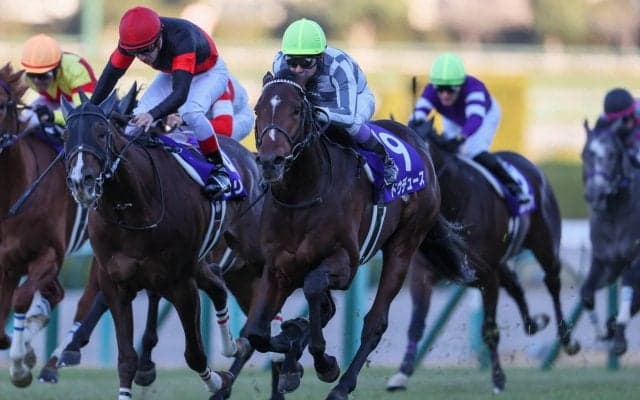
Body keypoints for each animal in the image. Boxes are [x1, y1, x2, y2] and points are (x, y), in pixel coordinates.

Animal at [0, 62, 95, 388]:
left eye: (1, 105)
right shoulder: (7, 261)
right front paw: (20, 349)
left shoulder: (49, 254)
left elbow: (21, 299)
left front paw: (19, 366)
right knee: (57, 294)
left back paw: (53, 362)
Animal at [60, 89, 266, 399]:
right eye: (66, 135)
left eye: (101, 131)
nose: (80, 181)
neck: (132, 207)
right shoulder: (117, 283)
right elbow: (126, 359)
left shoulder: (179, 283)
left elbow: (195, 355)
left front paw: (218, 381)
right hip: (204, 264)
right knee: (218, 286)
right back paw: (234, 346)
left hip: (246, 258)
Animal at [244, 70, 479, 400]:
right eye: (258, 109)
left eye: (297, 110)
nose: (270, 161)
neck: (304, 193)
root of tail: (418, 145)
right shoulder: (279, 267)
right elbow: (257, 332)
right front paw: (290, 345)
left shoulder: (344, 264)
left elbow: (313, 289)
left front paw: (324, 362)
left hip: (404, 246)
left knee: (375, 322)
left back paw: (342, 386)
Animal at [387, 118, 580, 393]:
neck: (456, 202)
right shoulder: (422, 272)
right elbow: (416, 325)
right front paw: (402, 374)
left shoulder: (487, 276)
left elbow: (490, 330)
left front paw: (498, 379)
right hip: (500, 263)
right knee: (515, 285)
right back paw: (534, 323)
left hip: (545, 246)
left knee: (552, 282)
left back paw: (566, 338)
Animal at [580, 118, 640, 356]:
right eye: (585, 154)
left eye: (613, 154)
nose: (594, 193)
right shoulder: (606, 263)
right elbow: (586, 294)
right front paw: (604, 331)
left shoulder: (636, 261)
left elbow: (629, 290)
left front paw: (618, 334)